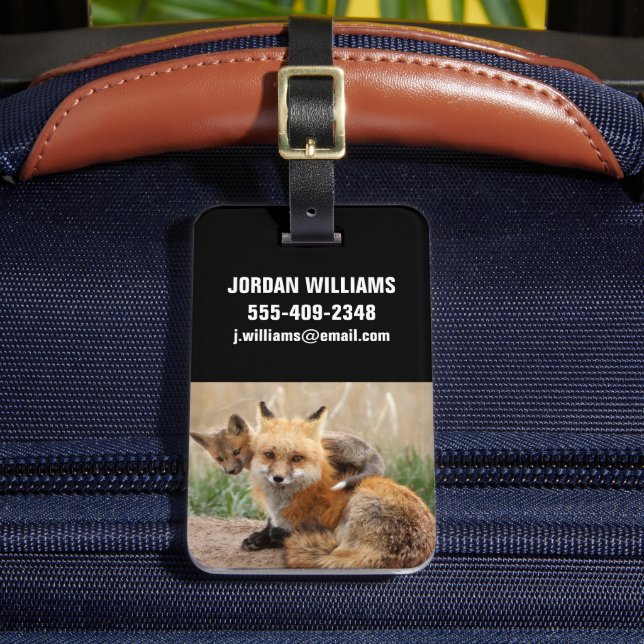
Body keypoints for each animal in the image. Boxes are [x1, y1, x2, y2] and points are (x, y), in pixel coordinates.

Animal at [190, 405, 384, 551]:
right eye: (220, 458)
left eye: (236, 451)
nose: (230, 470)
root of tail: (371, 450)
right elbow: (273, 517)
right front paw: (261, 538)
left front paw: (267, 538)